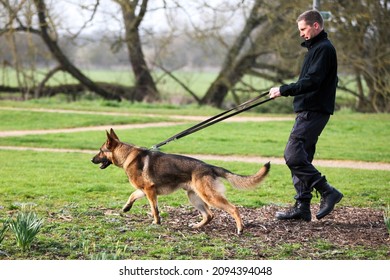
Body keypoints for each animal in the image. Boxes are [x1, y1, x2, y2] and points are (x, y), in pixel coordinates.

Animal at [92, 129, 270, 234]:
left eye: (100, 151)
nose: (91, 159)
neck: (127, 155)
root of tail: (210, 166)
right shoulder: (145, 190)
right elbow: (132, 195)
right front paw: (126, 208)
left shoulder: (150, 191)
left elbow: (154, 209)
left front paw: (156, 222)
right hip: (194, 197)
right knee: (209, 215)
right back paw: (197, 226)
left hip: (209, 197)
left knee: (233, 208)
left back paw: (240, 228)